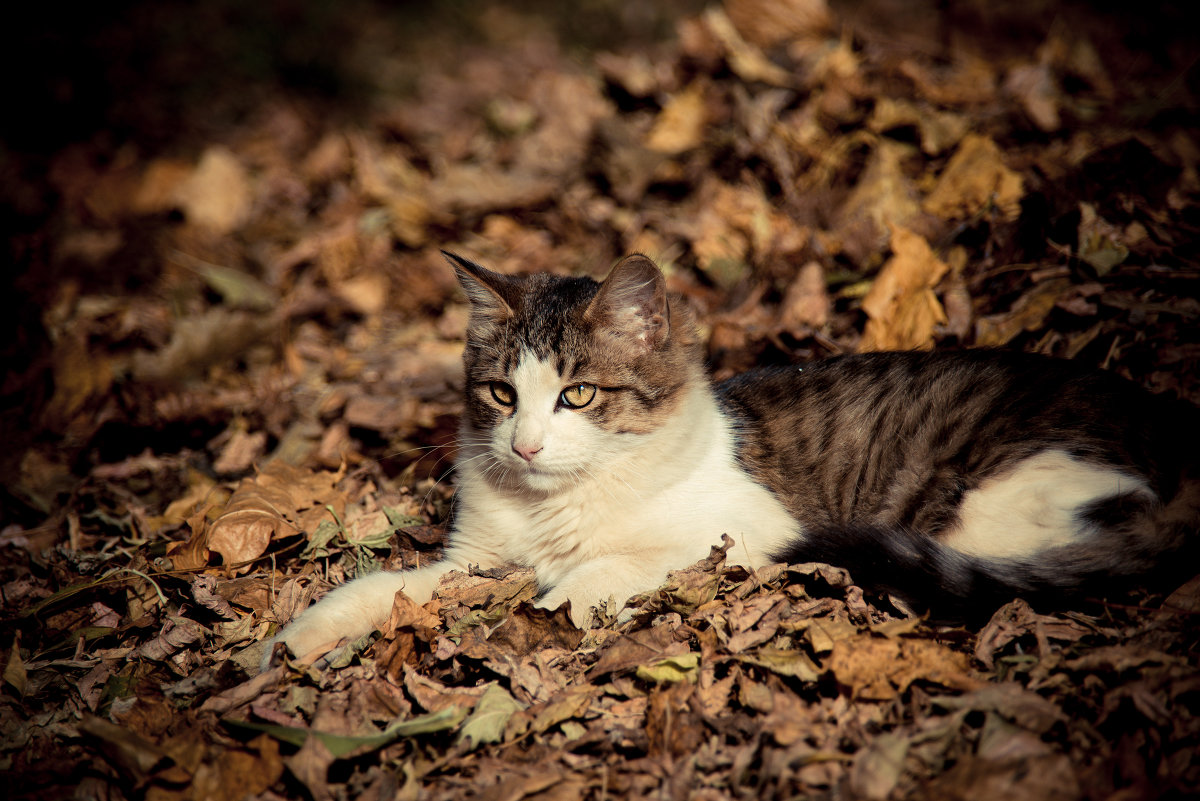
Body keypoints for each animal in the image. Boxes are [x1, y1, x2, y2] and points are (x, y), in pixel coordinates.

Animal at [262, 253, 1200, 666]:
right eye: (500, 394)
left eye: (577, 395)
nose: (525, 444)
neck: (559, 502)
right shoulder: (475, 559)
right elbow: (387, 586)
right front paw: (297, 636)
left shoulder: (746, 526)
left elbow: (609, 566)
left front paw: (556, 602)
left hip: (987, 507)